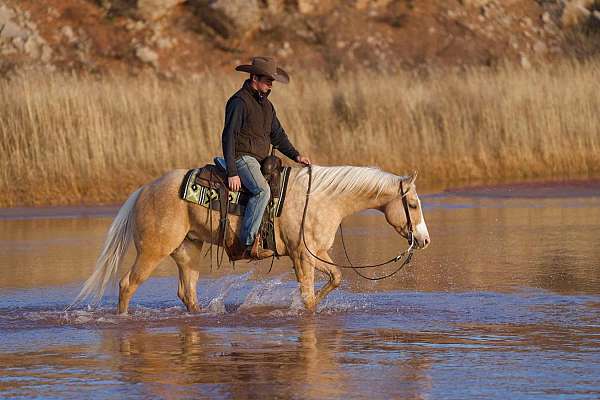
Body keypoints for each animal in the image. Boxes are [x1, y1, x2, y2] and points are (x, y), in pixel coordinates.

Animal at [72, 164, 428, 314]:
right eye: (412, 204)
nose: (423, 240)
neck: (321, 198)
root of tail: (144, 190)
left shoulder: (318, 252)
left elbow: (337, 278)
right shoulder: (302, 255)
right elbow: (309, 295)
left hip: (187, 250)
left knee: (187, 293)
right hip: (152, 251)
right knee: (127, 285)